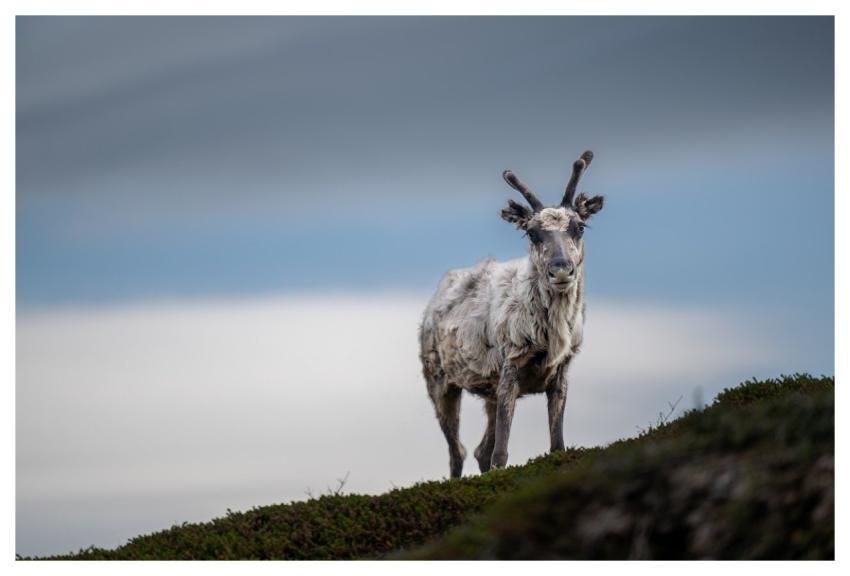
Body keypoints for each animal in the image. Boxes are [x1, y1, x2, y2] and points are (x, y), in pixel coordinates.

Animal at [419, 150, 604, 478]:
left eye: (580, 226)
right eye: (531, 232)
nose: (560, 269)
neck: (553, 333)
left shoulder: (560, 373)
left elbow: (557, 445)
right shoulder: (511, 365)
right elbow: (501, 454)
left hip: (489, 393)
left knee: (479, 450)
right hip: (439, 380)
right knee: (458, 452)